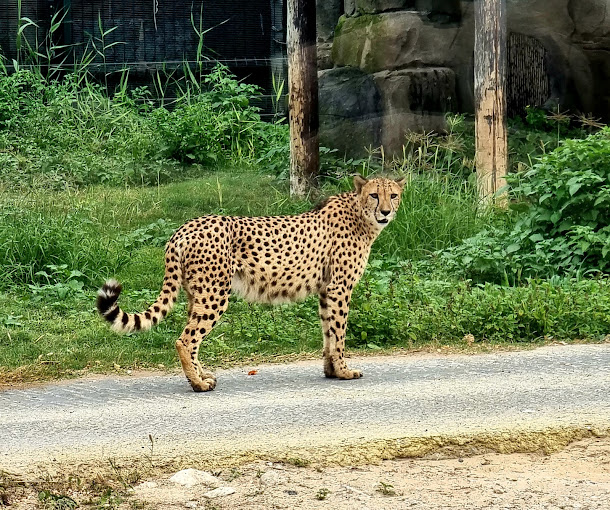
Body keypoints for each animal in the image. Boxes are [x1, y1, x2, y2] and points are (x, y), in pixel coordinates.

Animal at [97, 175, 404, 390]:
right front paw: (343, 371)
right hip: (214, 294)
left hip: (197, 294)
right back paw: (199, 384)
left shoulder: (326, 290)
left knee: (192, 337)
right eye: (374, 195)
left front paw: (331, 370)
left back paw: (202, 375)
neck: (360, 215)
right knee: (185, 339)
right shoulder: (339, 288)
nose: (386, 212)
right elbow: (339, 332)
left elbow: (328, 331)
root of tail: (184, 228)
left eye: (393, 195)